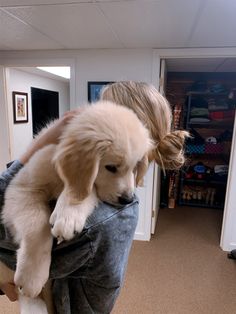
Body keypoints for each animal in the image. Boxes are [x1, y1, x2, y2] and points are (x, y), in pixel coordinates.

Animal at [0, 101, 152, 314]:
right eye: (111, 167)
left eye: (135, 167)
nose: (128, 200)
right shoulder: (23, 187)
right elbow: (36, 226)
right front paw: (31, 277)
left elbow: (87, 190)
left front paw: (68, 216)